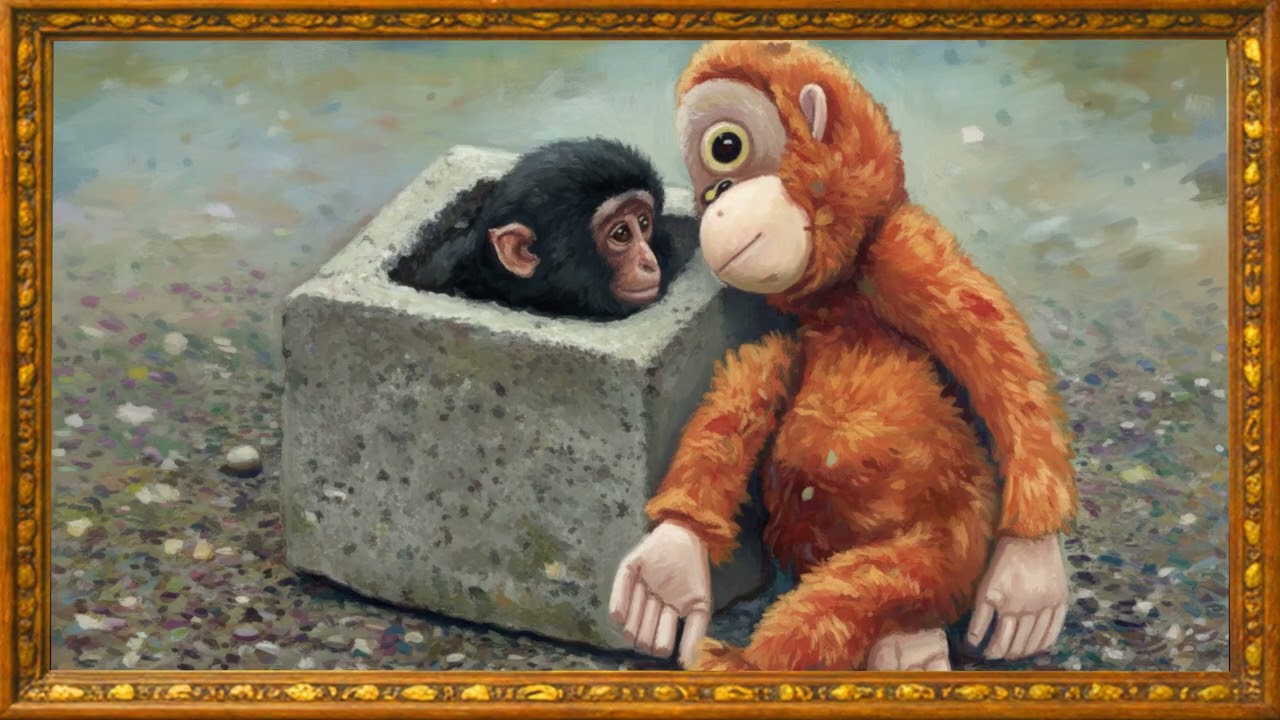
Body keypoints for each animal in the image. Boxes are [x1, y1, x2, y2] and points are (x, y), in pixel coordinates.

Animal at [609, 40, 1076, 672]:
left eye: (726, 148)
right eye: (709, 192)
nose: (717, 212)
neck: (835, 304)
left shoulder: (903, 253)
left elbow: (998, 355)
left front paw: (1029, 570)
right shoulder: (780, 329)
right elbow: (743, 396)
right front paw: (672, 558)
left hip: (952, 539)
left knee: (863, 594)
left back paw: (753, 664)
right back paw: (906, 649)